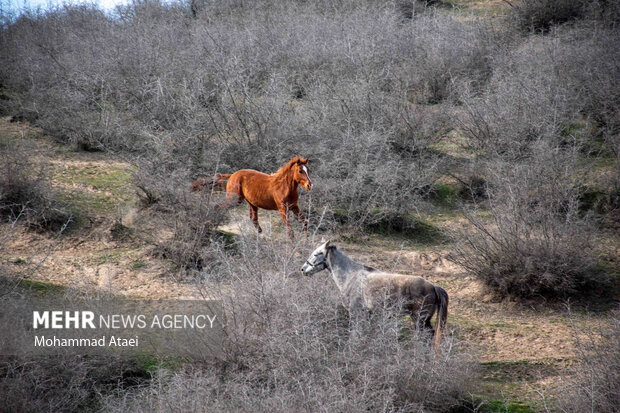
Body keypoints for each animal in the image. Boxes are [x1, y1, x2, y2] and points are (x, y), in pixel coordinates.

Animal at [300, 241, 446, 344]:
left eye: (317, 254)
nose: (303, 269)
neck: (351, 276)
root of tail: (433, 286)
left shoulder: (355, 312)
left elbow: (355, 333)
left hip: (419, 319)